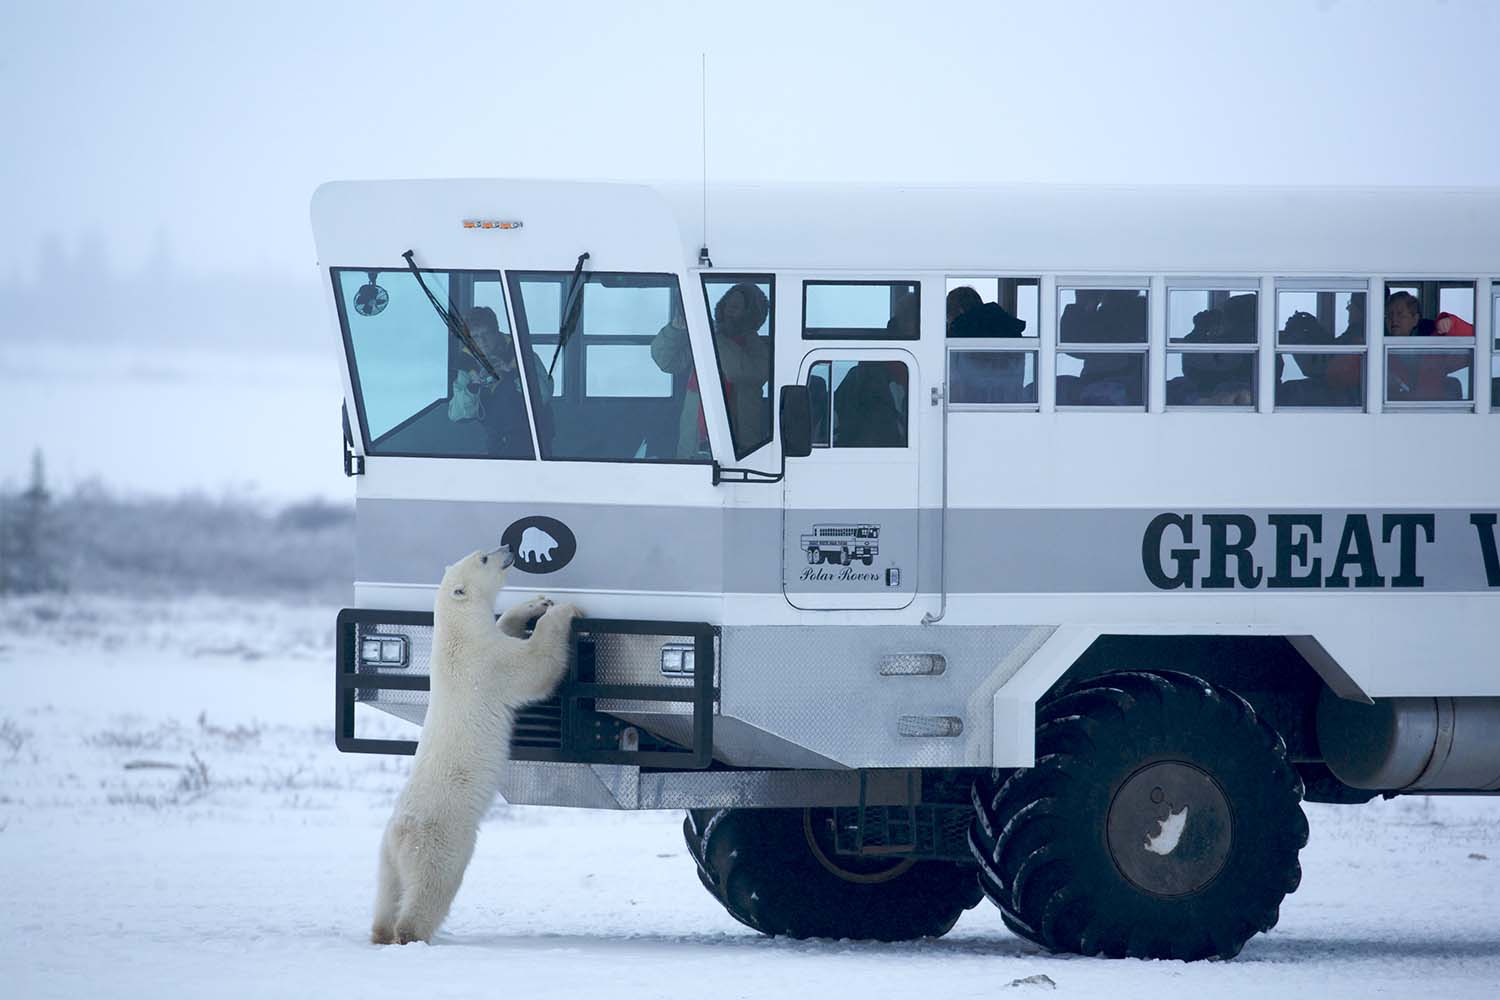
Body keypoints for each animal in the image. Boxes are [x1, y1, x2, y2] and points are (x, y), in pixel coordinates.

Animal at [370, 544, 581, 945]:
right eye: (483, 557)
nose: (510, 548)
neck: (457, 635)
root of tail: (402, 832)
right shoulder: (488, 664)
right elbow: (535, 666)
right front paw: (564, 610)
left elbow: (506, 627)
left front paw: (535, 604)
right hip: (442, 842)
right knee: (431, 888)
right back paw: (410, 934)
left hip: (386, 856)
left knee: (387, 894)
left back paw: (380, 932)